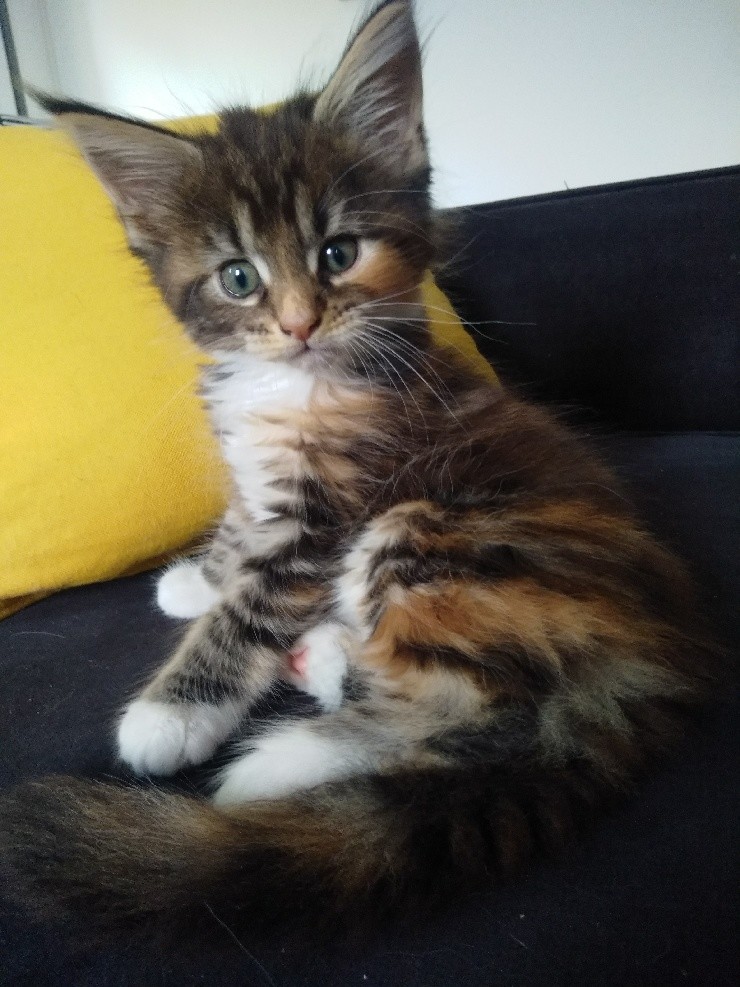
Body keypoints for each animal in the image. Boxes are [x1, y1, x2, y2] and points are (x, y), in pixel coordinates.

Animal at [0, 0, 716, 931]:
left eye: (338, 254)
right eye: (238, 277)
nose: (301, 323)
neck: (296, 381)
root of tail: (660, 654)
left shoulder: (331, 508)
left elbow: (252, 607)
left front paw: (172, 710)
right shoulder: (265, 482)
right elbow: (242, 525)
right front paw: (201, 576)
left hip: (436, 532)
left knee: (482, 714)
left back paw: (273, 766)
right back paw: (324, 657)